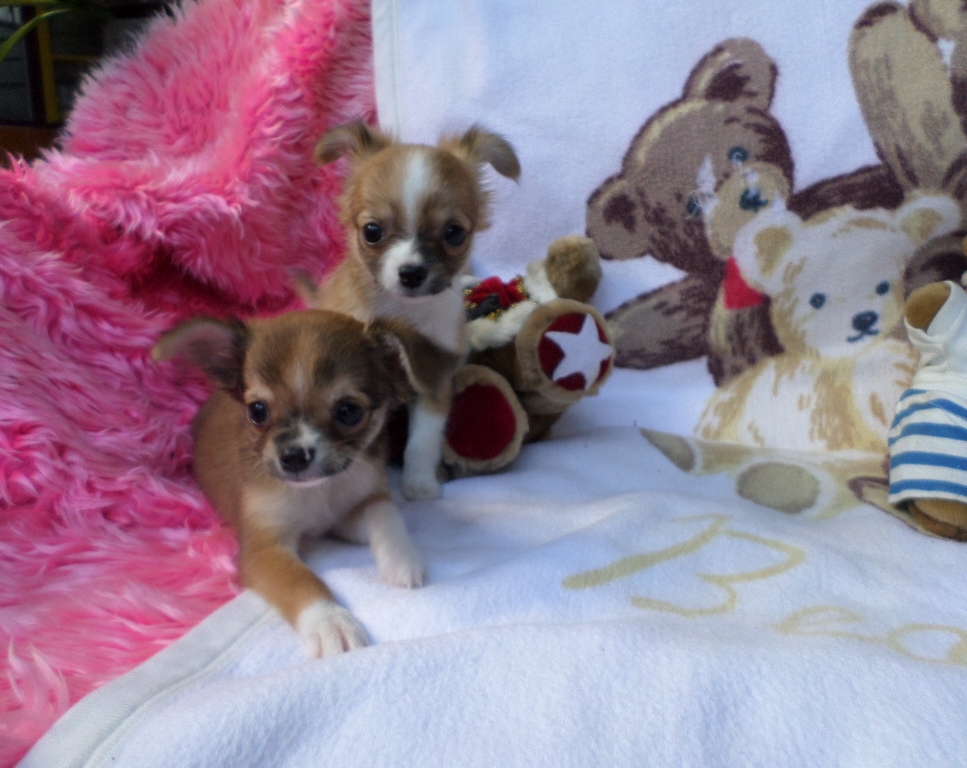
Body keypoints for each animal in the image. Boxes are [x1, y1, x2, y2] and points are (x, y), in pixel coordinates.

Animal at [153, 309, 457, 657]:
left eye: (348, 411)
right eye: (257, 411)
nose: (294, 456)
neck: (319, 492)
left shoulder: (343, 517)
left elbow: (384, 511)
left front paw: (401, 558)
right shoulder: (264, 548)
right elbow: (299, 579)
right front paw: (330, 622)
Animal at [308, 120, 521, 500]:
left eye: (454, 233)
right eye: (372, 232)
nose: (411, 272)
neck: (401, 314)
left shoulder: (433, 380)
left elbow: (422, 441)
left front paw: (419, 484)